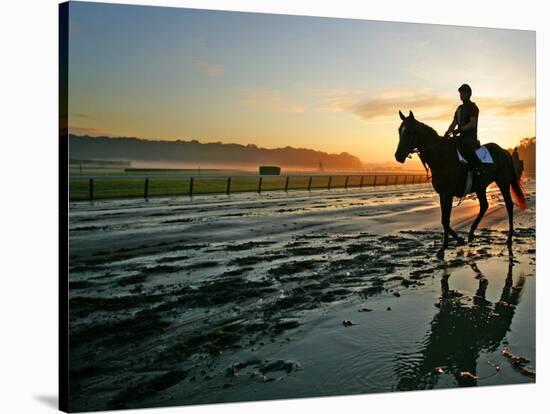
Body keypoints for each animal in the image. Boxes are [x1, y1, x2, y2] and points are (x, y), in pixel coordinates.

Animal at [396, 110, 528, 256]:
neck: (441, 157)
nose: (398, 155)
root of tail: (504, 151)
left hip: (503, 182)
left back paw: (509, 238)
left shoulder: (447, 194)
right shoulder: (443, 194)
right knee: (484, 206)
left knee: (509, 205)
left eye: (410, 132)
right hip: (480, 187)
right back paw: (471, 234)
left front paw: (443, 247)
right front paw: (458, 240)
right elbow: (444, 220)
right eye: (399, 131)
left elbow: (445, 220)